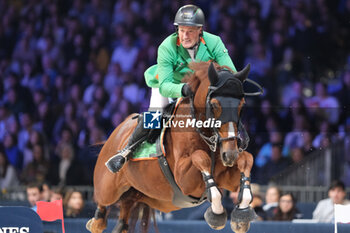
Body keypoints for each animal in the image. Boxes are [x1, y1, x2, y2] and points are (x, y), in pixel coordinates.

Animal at [86, 62, 262, 233]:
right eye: (214, 105)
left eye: (242, 104)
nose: (230, 155)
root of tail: (117, 131)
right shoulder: (185, 180)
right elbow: (200, 157)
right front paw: (216, 215)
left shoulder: (227, 177)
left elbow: (247, 159)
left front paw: (242, 215)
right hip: (107, 188)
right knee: (101, 210)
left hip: (147, 197)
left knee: (124, 217)